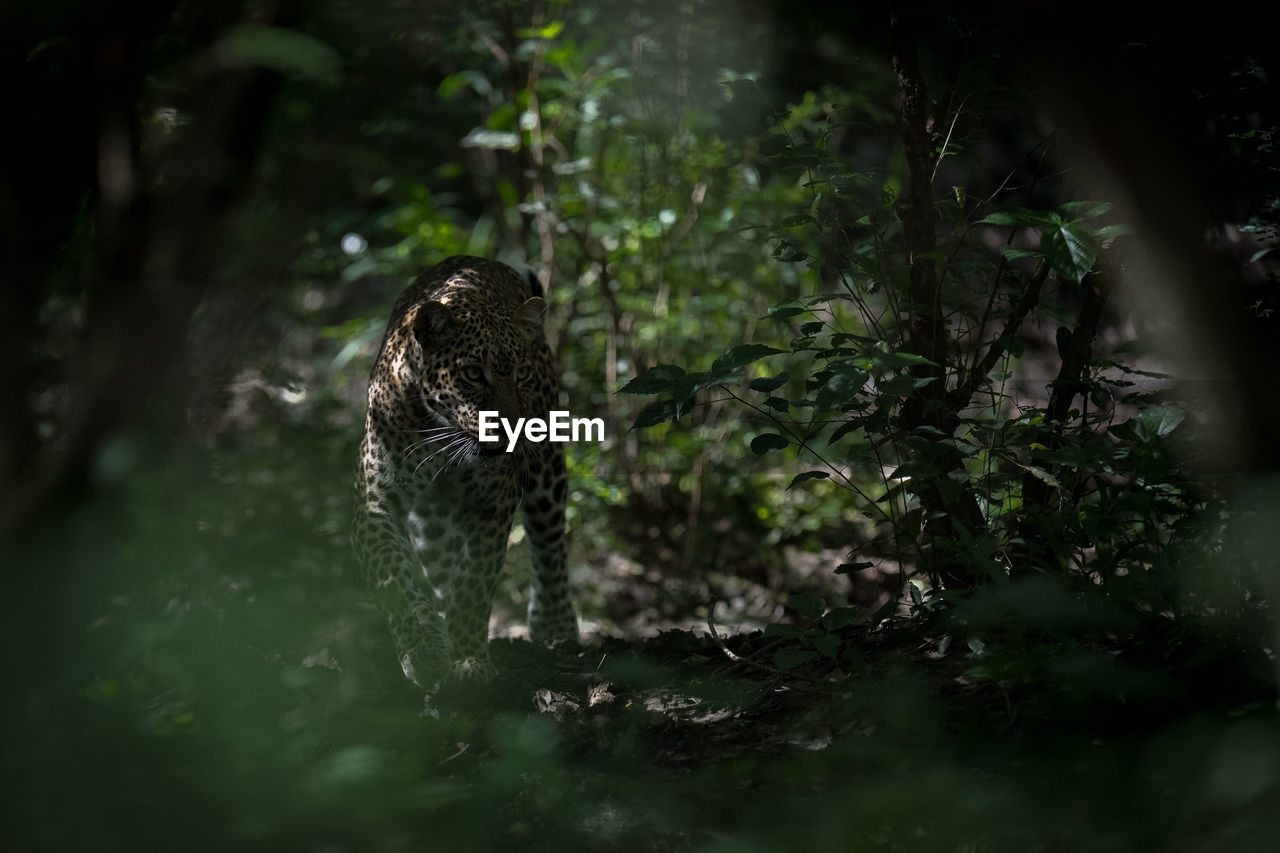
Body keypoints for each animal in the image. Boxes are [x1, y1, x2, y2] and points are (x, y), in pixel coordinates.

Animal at [358, 252, 583, 686]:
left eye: (522, 374)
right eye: (474, 373)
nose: (513, 429)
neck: (440, 436)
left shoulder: (495, 502)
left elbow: (474, 581)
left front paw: (468, 661)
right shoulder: (375, 501)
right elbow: (392, 575)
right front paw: (425, 649)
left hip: (546, 471)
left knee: (548, 543)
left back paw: (556, 627)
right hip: (432, 528)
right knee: (442, 570)